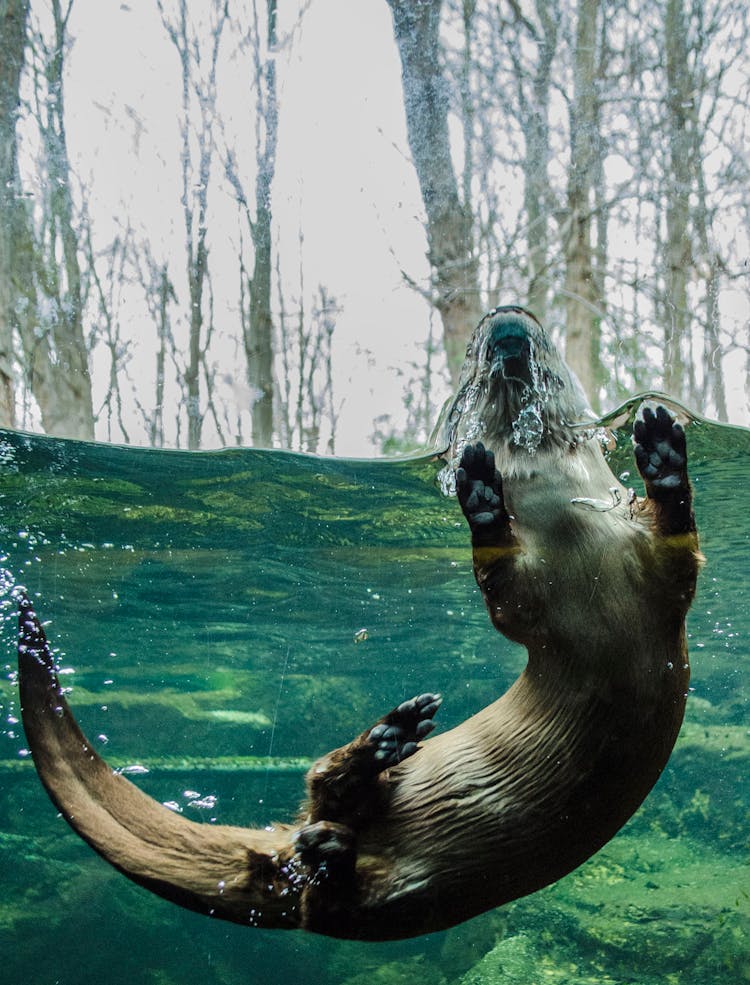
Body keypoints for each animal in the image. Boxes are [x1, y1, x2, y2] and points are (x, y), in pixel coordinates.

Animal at [14, 306, 704, 936]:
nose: (508, 315)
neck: (574, 535)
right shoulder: (530, 597)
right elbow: (502, 591)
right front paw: (479, 493)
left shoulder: (653, 575)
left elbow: (682, 546)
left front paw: (663, 448)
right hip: (374, 897)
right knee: (321, 867)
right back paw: (371, 761)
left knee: (328, 885)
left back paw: (355, 801)